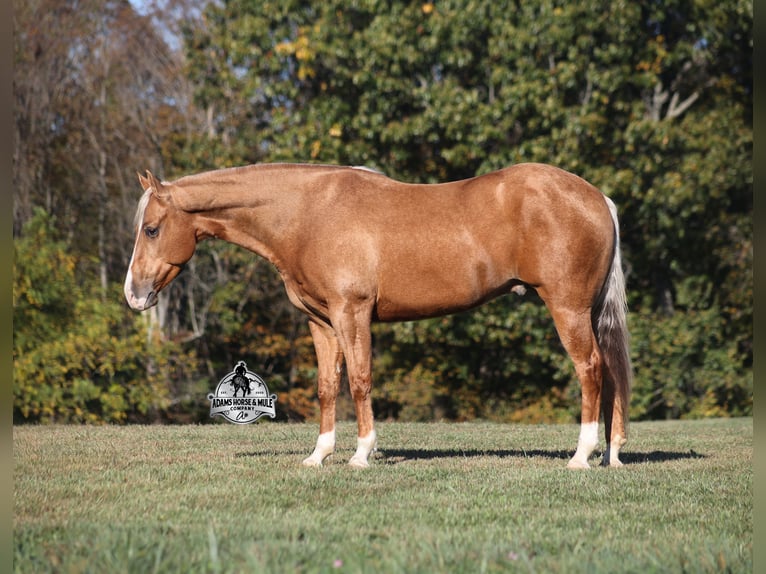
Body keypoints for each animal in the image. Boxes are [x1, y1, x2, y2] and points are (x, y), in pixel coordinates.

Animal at [124, 162, 632, 469]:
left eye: (151, 229)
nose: (134, 295)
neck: (309, 213)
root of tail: (597, 198)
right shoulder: (322, 322)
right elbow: (327, 387)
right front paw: (319, 456)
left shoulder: (353, 313)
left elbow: (360, 381)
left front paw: (361, 455)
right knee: (611, 372)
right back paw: (612, 454)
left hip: (567, 308)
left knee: (590, 369)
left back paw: (582, 456)